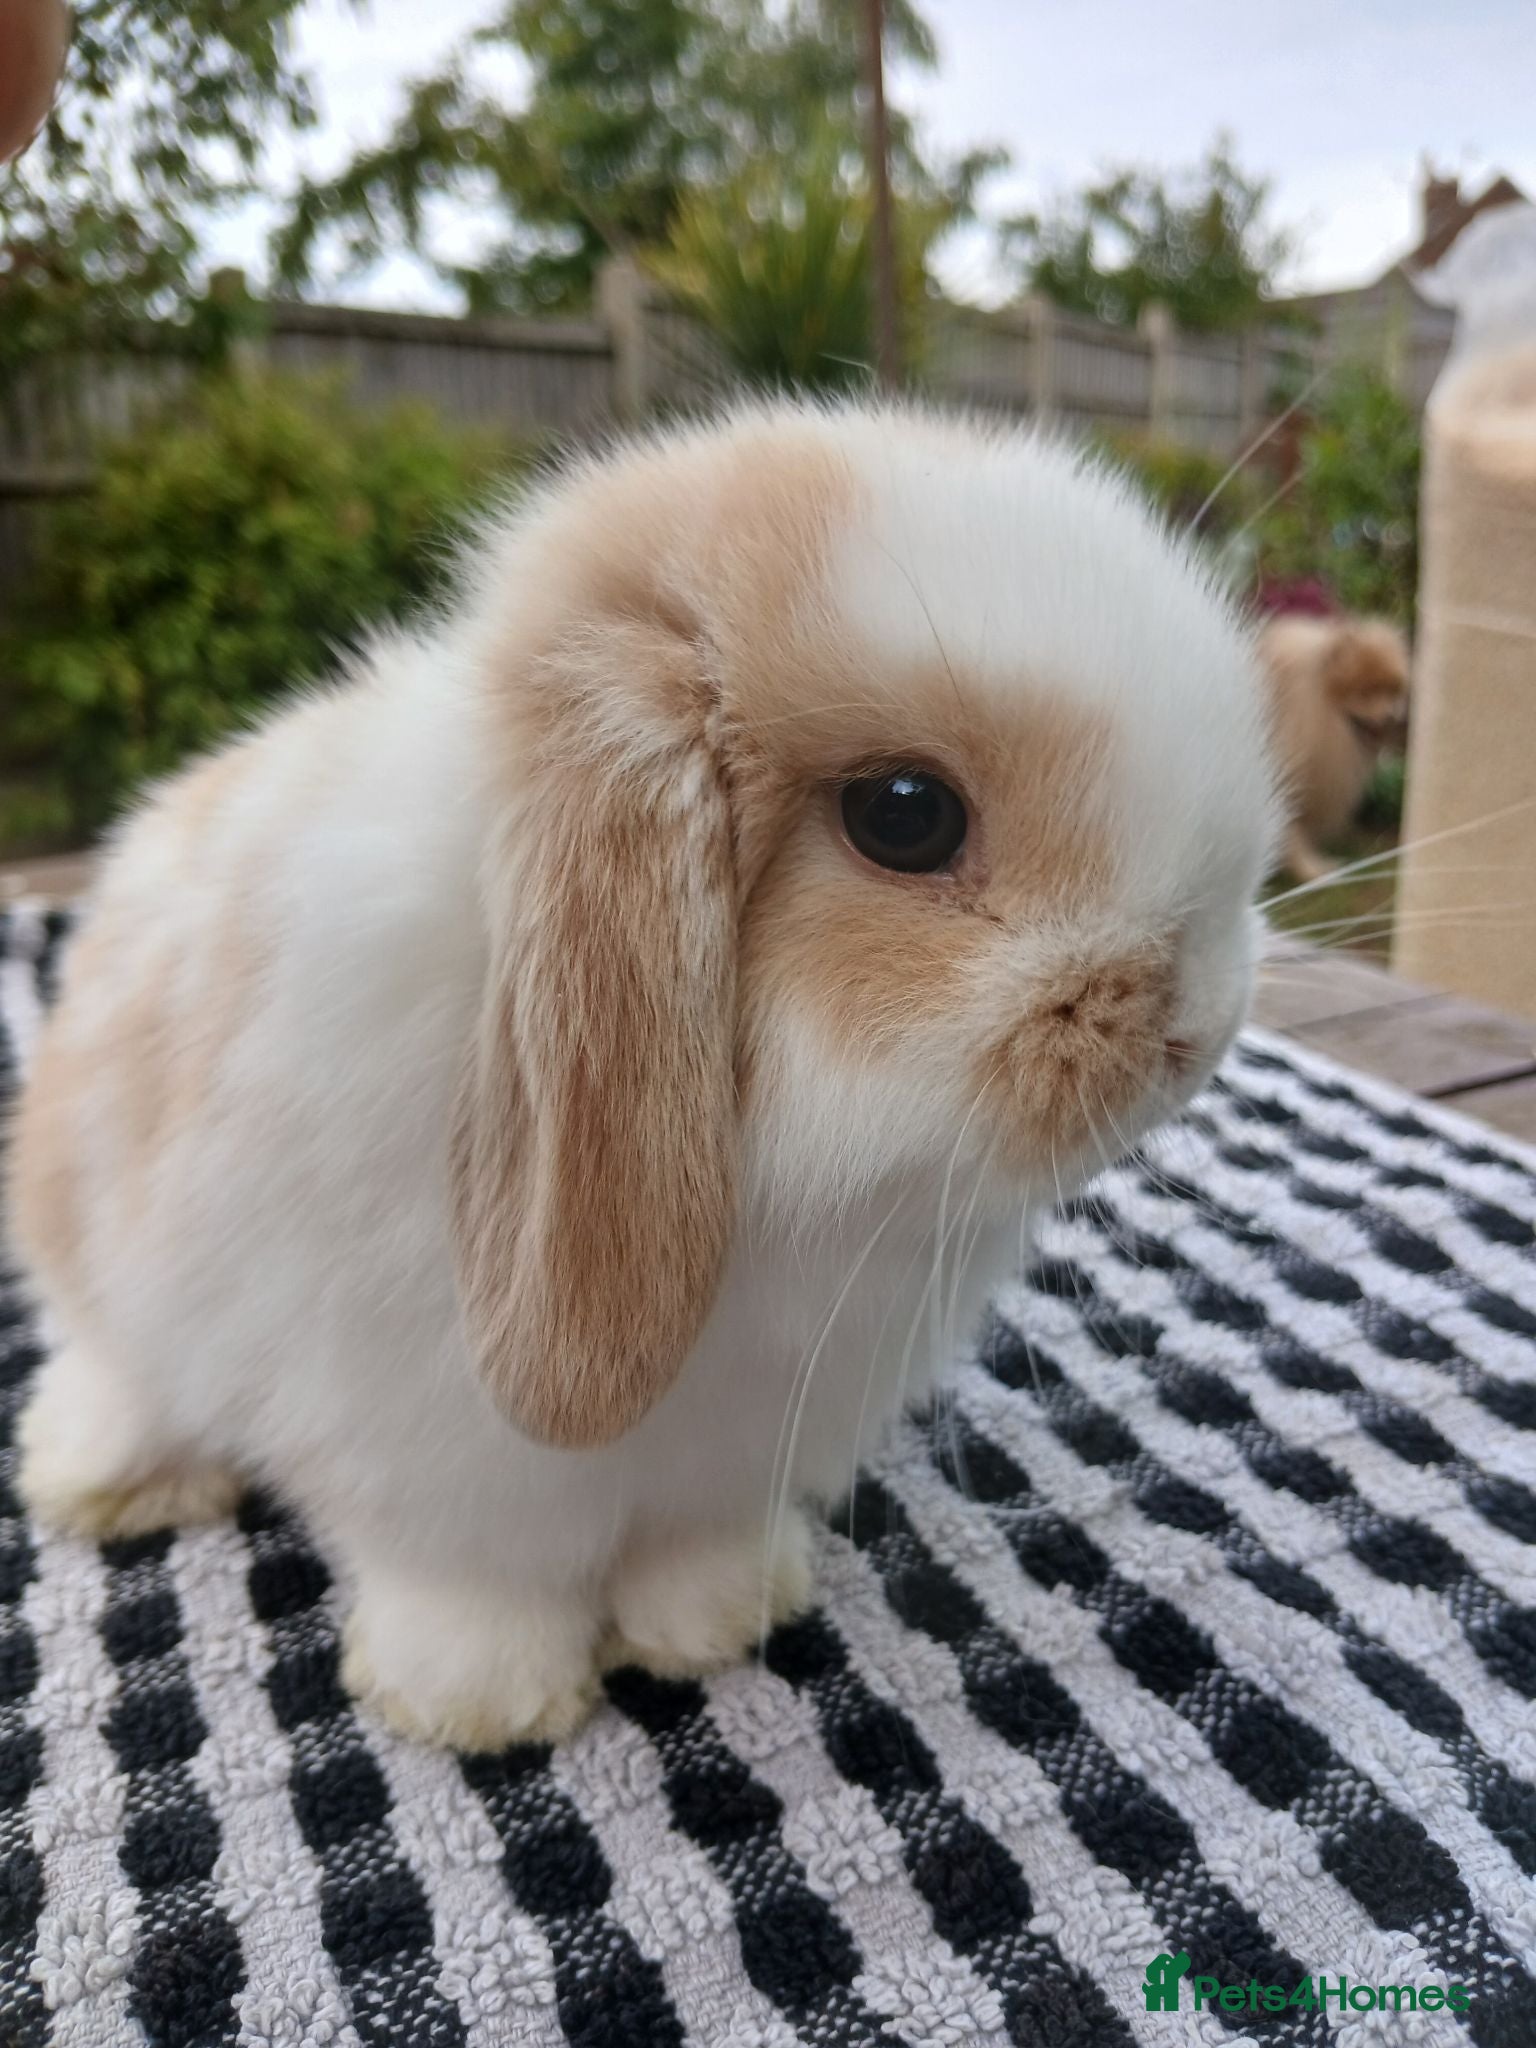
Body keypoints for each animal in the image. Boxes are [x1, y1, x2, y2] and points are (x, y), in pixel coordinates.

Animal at [8, 402, 1280, 1750]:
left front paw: (718, 1625)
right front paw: (482, 1704)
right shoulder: (429, 1458)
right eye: (904, 813)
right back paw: (106, 1479)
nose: (1198, 1022)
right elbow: (468, 1580)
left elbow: (696, 1551)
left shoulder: (734, 1459)